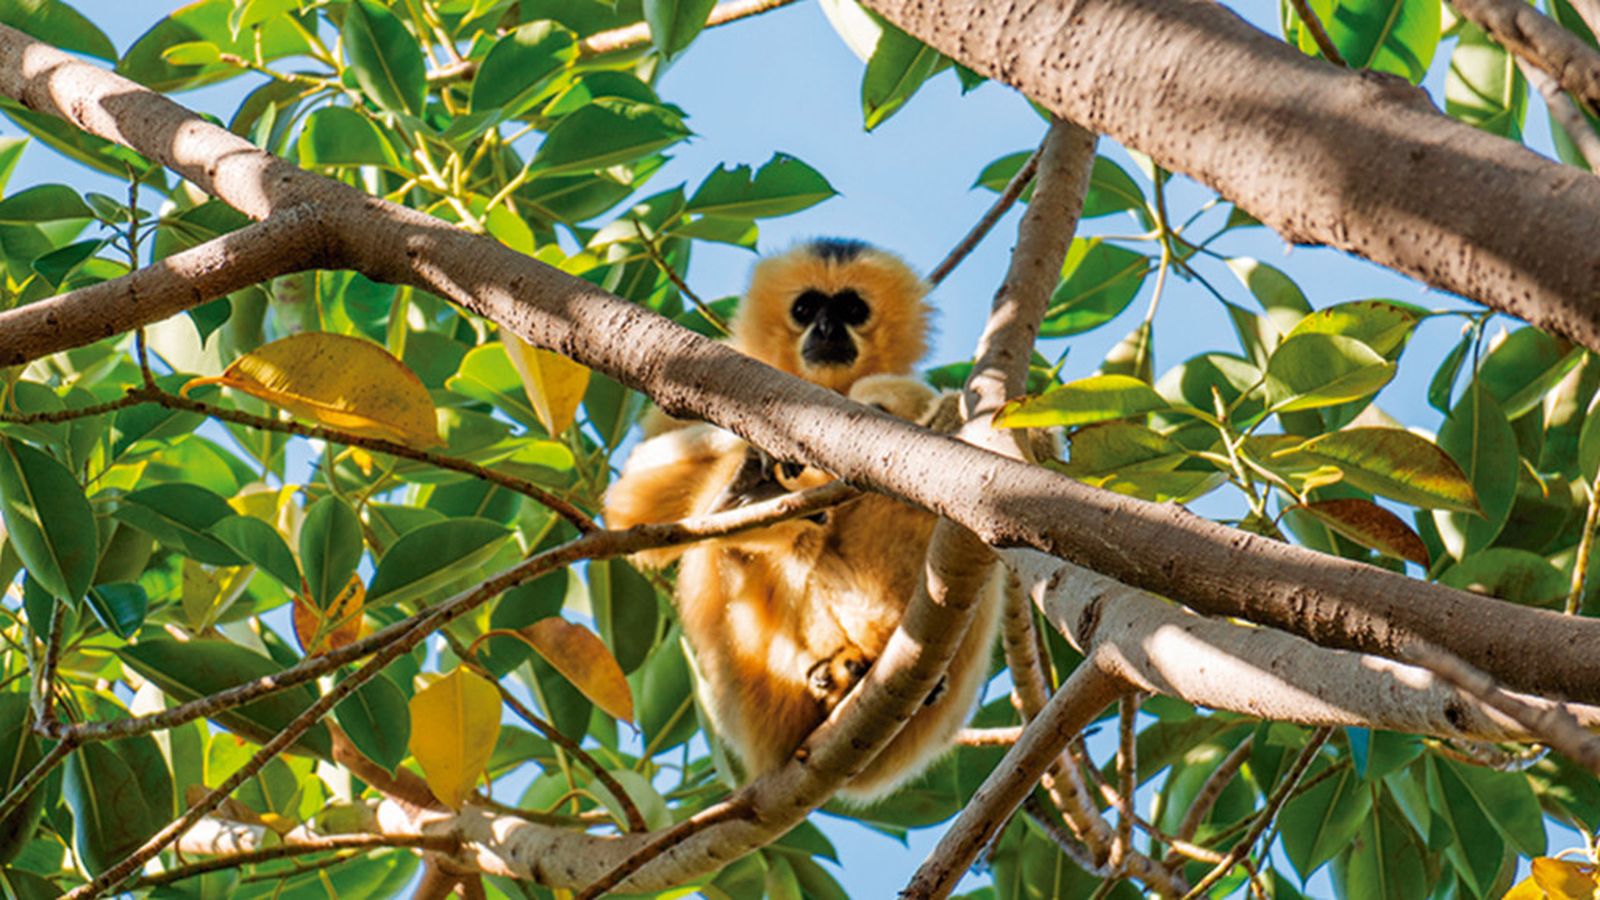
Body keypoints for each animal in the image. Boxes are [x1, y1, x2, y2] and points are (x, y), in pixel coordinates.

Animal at [603, 239, 1003, 801]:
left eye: (852, 309)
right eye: (807, 308)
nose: (829, 329)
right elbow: (632, 512)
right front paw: (763, 453)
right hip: (757, 701)